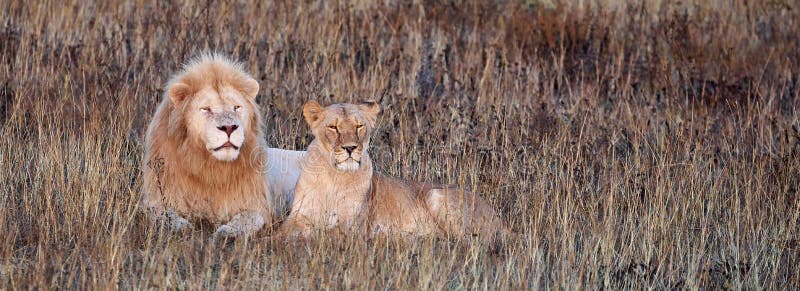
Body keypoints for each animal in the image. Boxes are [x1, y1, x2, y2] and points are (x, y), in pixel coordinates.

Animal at [141, 53, 304, 238]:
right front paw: (183, 227)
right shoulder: (156, 199)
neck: (212, 169)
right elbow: (162, 214)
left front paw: (227, 232)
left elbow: (248, 218)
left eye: (236, 107)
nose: (229, 127)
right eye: (206, 109)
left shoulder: (257, 204)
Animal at [282, 101, 506, 241]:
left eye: (359, 126)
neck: (334, 176)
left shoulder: (353, 226)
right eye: (333, 127)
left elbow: (321, 234)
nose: (350, 148)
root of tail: (498, 218)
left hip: (436, 194)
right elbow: (283, 231)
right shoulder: (299, 215)